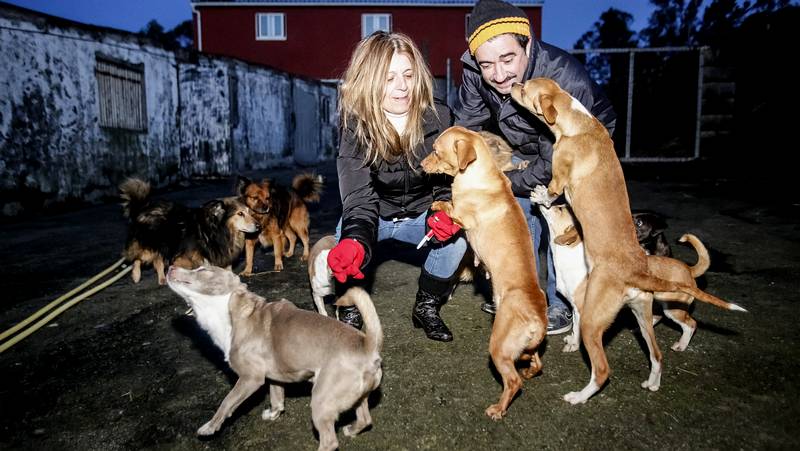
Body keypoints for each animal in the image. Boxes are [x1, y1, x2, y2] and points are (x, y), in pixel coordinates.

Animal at [120, 178, 258, 284]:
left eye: (249, 212)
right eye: (240, 214)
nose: (258, 226)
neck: (218, 230)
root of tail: (142, 208)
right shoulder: (184, 257)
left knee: (157, 260)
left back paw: (162, 279)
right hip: (149, 245)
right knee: (137, 257)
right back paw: (136, 275)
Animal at [166, 266, 382, 450]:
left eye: (202, 269)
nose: (170, 267)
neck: (229, 311)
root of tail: (367, 345)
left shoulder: (250, 378)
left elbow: (227, 402)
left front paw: (210, 426)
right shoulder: (276, 375)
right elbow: (276, 397)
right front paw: (273, 413)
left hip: (321, 400)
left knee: (330, 441)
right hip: (358, 397)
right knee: (365, 419)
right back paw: (351, 430)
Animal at [422, 124, 548, 420]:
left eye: (436, 151)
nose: (421, 164)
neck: (480, 175)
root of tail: (538, 320)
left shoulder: (462, 216)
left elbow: (449, 206)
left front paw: (437, 206)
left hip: (499, 348)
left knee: (513, 381)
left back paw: (498, 409)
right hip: (527, 347)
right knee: (535, 362)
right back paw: (529, 370)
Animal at [510, 77, 748, 406]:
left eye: (525, 89)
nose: (511, 86)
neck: (580, 126)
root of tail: (637, 269)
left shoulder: (559, 177)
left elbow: (551, 190)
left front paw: (540, 195)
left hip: (596, 322)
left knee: (602, 369)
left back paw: (580, 396)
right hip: (643, 316)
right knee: (657, 354)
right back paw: (654, 380)